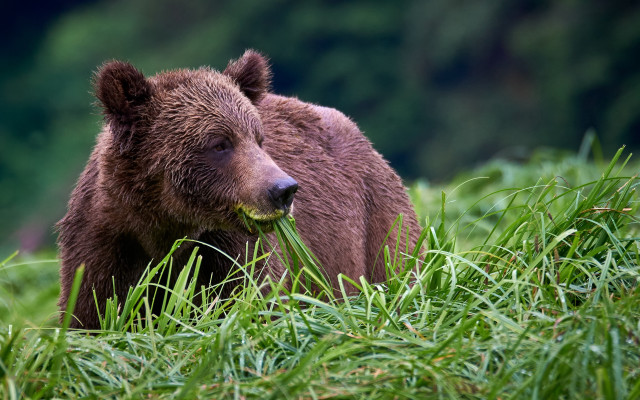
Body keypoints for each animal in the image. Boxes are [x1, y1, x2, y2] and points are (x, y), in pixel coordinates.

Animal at [57, 50, 422, 329]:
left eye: (258, 139)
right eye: (220, 143)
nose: (284, 189)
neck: (163, 225)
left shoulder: (231, 251)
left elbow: (251, 301)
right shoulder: (104, 246)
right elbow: (91, 314)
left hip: (379, 222)